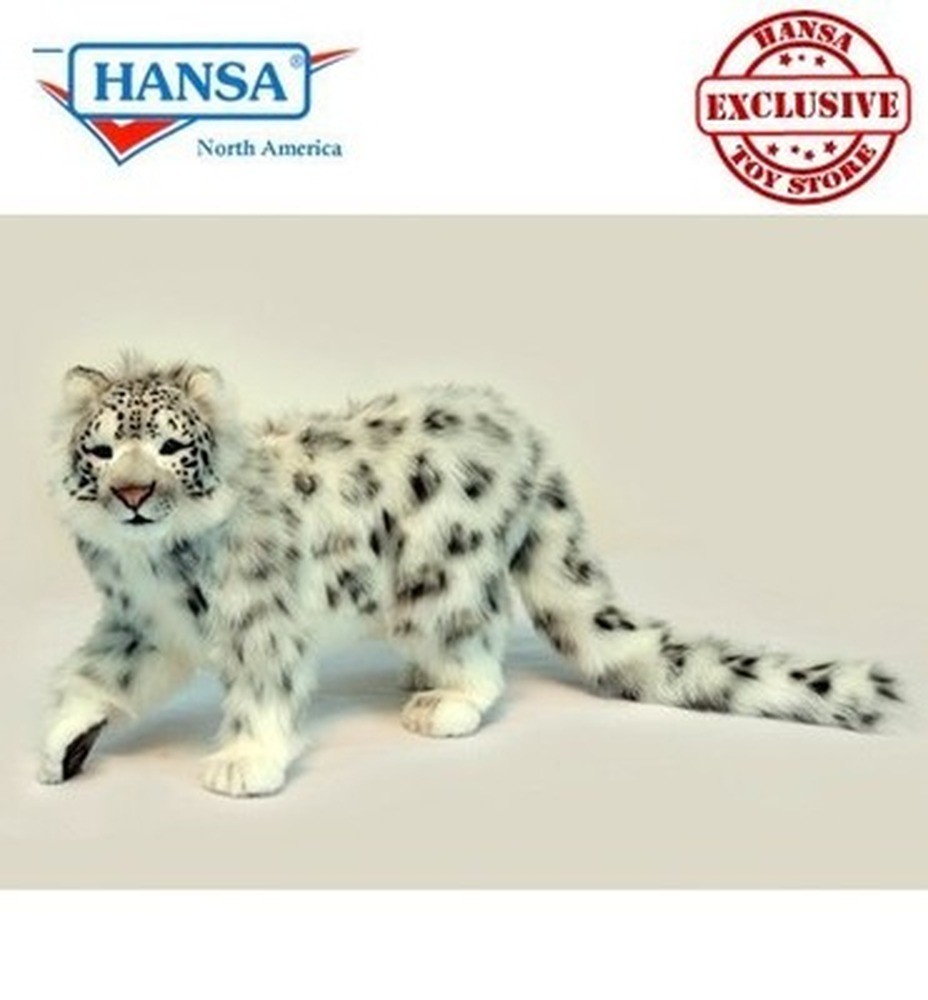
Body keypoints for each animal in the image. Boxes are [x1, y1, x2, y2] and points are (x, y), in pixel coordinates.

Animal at [36, 356, 904, 797]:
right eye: (102, 450)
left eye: (172, 446)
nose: (132, 494)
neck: (157, 562)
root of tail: (527, 437)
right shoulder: (140, 624)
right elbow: (98, 674)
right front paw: (58, 741)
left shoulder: (261, 620)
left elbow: (262, 688)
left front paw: (244, 762)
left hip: (443, 577)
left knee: (480, 652)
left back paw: (444, 701)